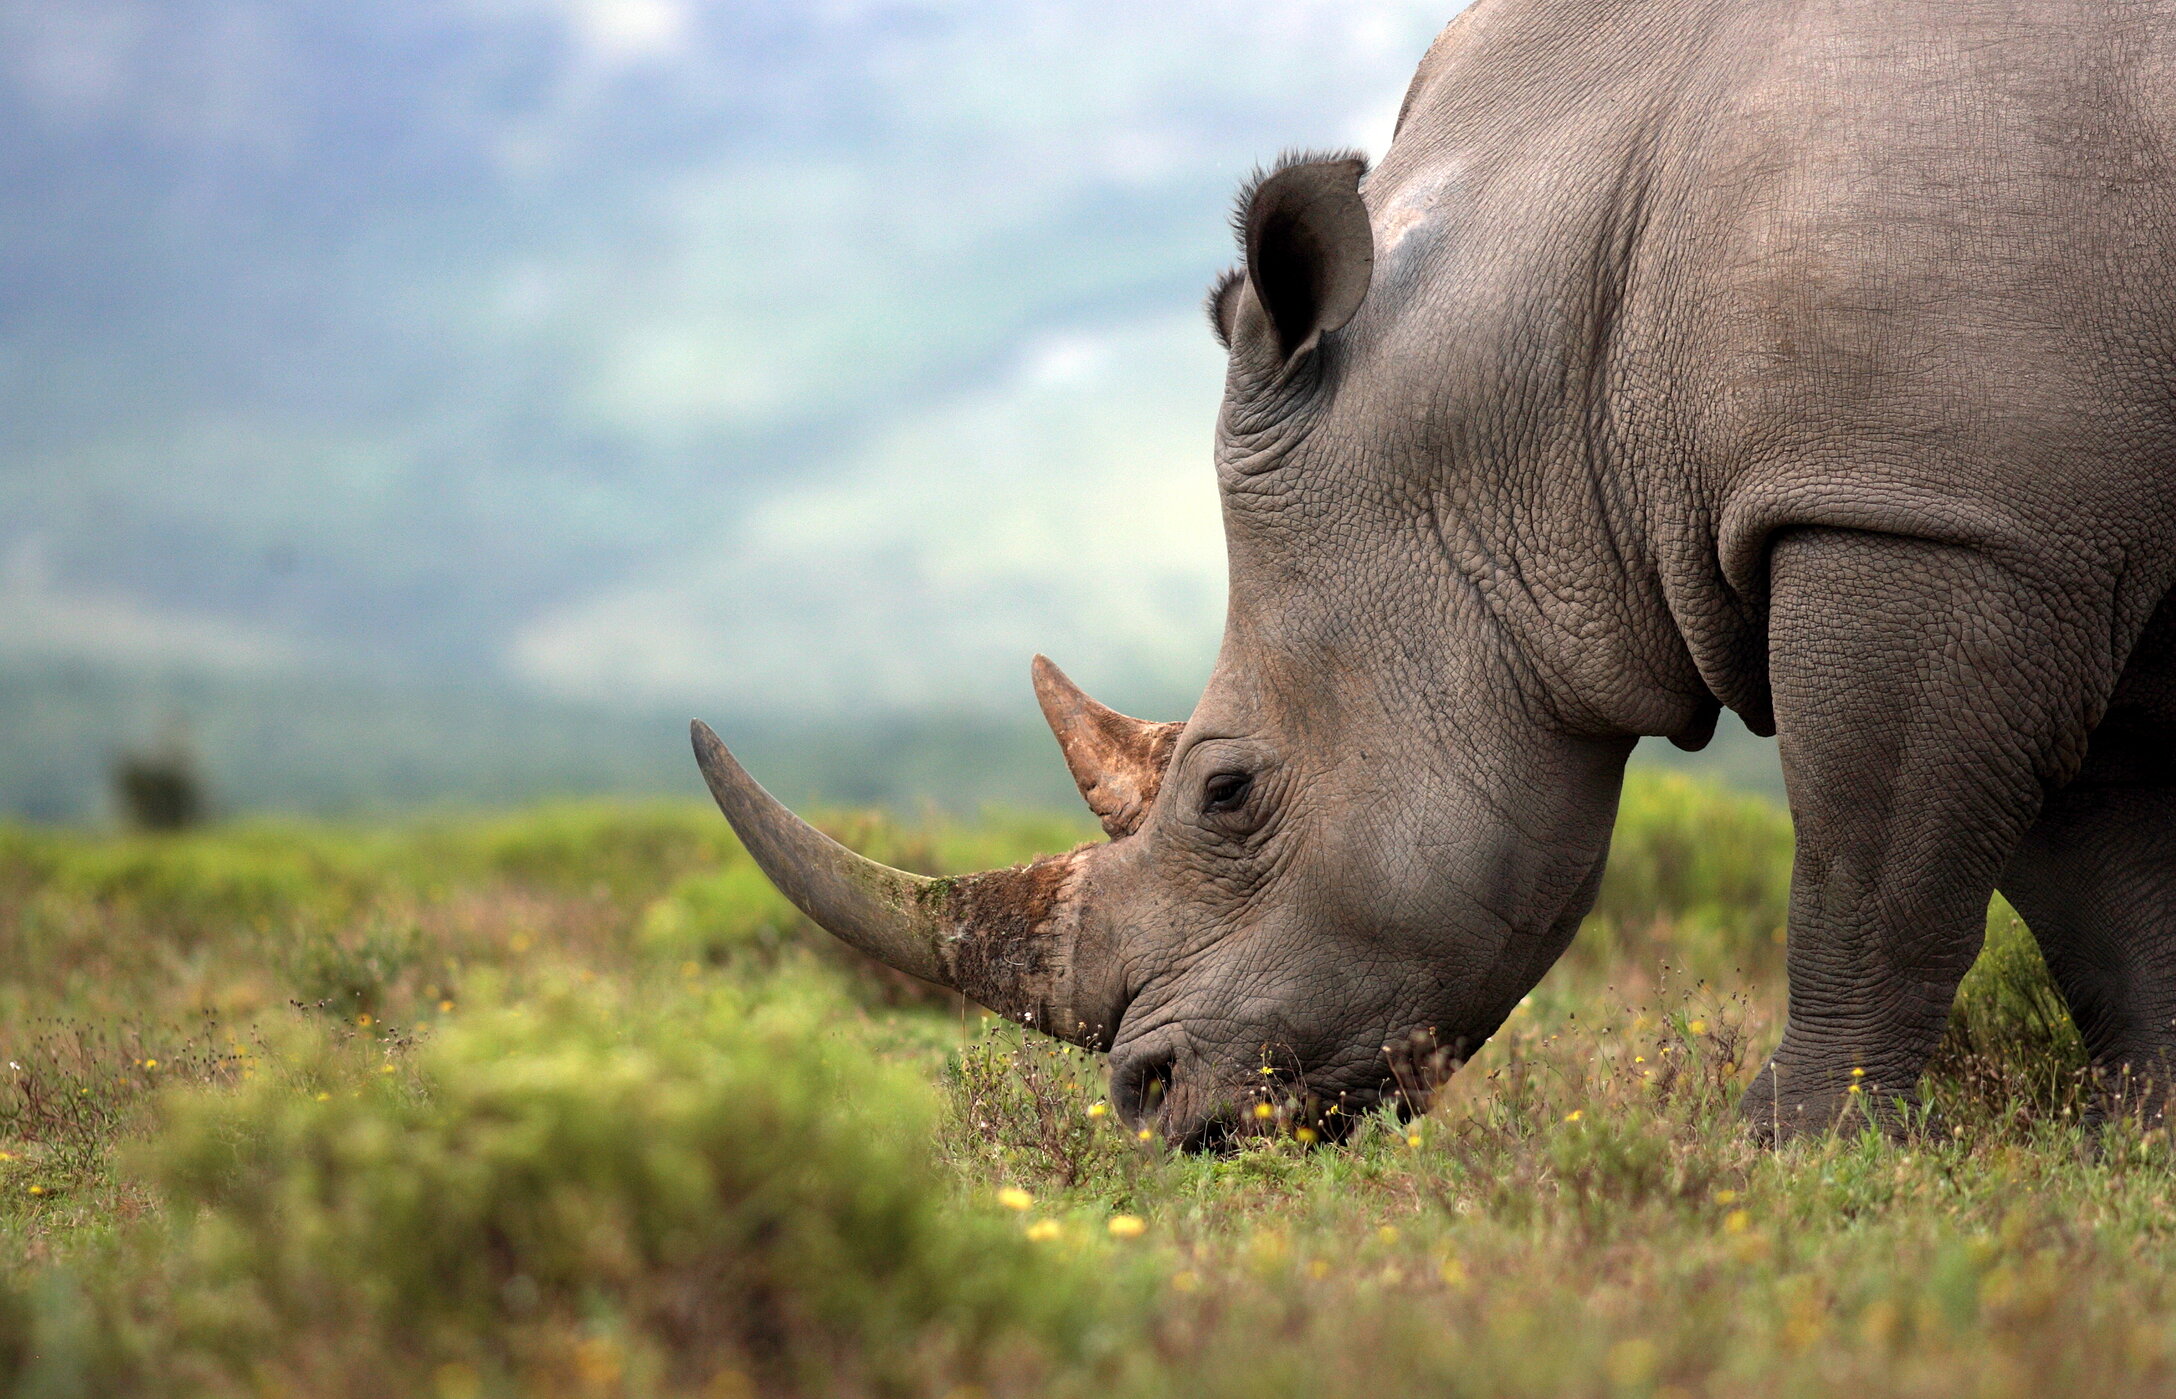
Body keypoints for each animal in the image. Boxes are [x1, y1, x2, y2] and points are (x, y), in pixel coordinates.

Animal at [693, 0, 2176, 1145]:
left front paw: (1791, 1157)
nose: (1147, 1098)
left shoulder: (1922, 511)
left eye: (1228, 793)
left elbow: (1874, 865)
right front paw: (2137, 1142)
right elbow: (2100, 882)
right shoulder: (2029, 527)